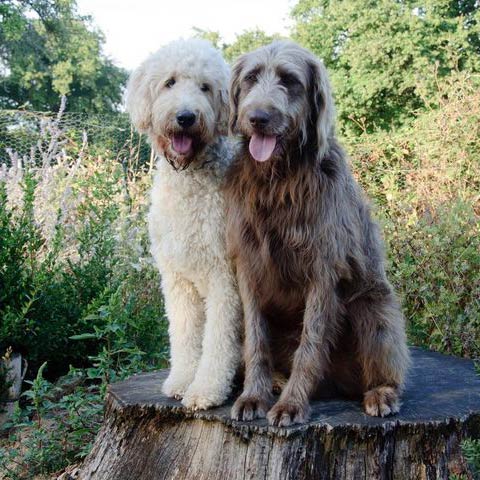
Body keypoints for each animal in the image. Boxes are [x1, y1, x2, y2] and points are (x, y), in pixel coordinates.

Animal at [125, 40, 242, 408]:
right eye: (170, 82)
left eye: (205, 87)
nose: (186, 117)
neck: (190, 181)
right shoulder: (178, 278)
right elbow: (185, 333)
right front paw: (181, 380)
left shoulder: (224, 279)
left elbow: (218, 341)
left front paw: (205, 389)